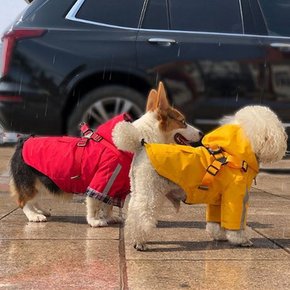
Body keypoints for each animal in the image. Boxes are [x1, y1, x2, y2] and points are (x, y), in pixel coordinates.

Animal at [112, 105, 286, 250]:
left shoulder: (218, 198)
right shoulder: (235, 196)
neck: (235, 154)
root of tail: (142, 145)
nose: (285, 139)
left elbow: (216, 220)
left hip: (139, 188)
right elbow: (235, 222)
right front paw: (241, 240)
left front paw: (219, 236)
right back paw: (140, 241)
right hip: (150, 190)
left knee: (133, 214)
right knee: (142, 216)